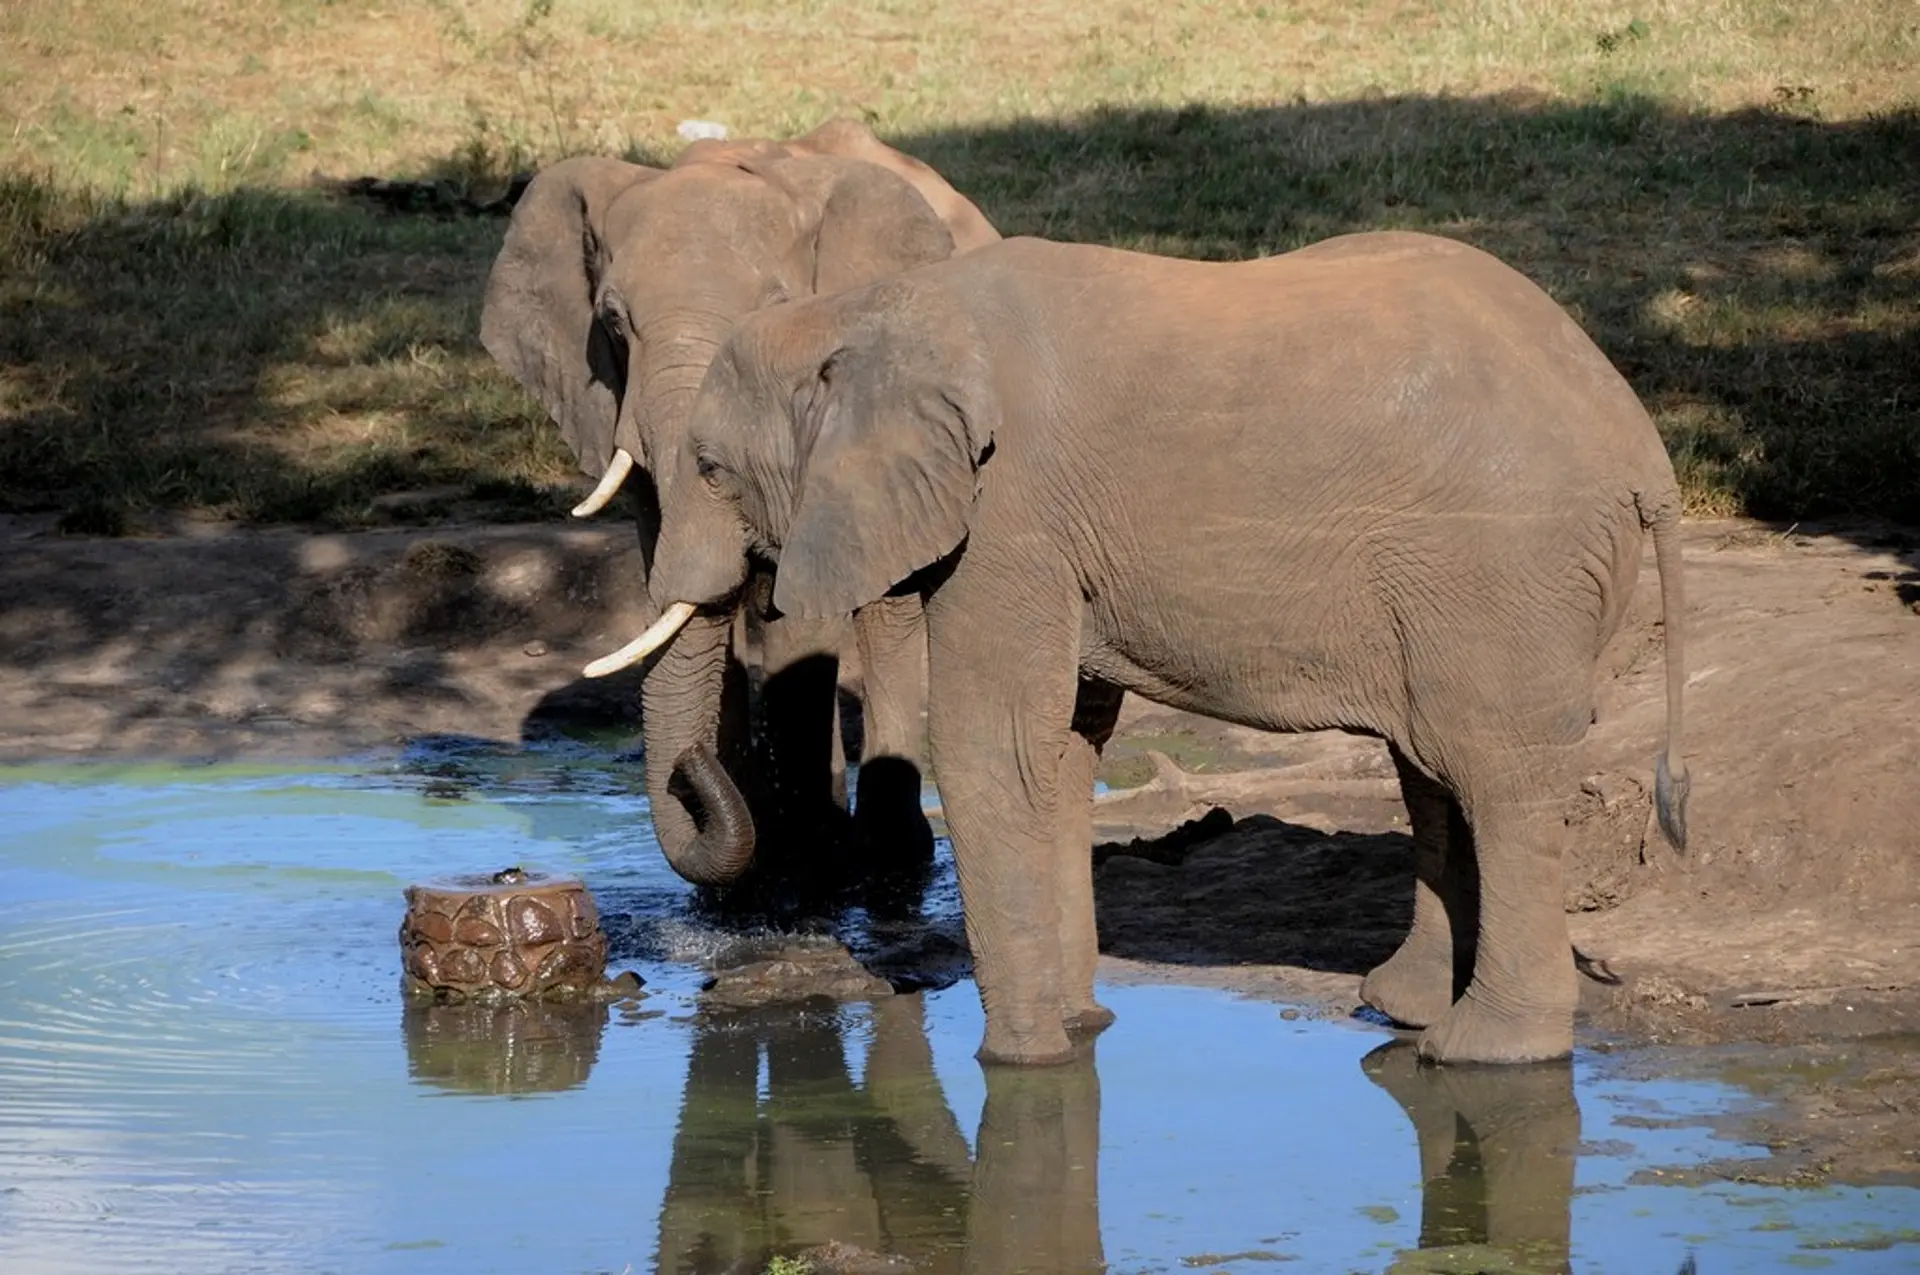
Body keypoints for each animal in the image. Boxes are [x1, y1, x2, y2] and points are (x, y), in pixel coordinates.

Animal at [479, 118, 999, 901]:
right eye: (613, 322)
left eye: (774, 311)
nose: (687, 772)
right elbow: (689, 587)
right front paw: (747, 886)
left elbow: (791, 607)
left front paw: (809, 868)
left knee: (888, 608)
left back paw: (885, 855)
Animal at [623, 229, 1692, 1066]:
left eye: (710, 469)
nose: (698, 769)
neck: (877, 306)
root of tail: (1644, 447)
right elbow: (1061, 748)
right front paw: (1079, 1027)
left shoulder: (1012, 517)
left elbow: (994, 746)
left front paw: (1023, 1060)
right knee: (1433, 765)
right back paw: (1402, 1007)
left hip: (1503, 567)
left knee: (1495, 772)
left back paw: (1484, 1051)